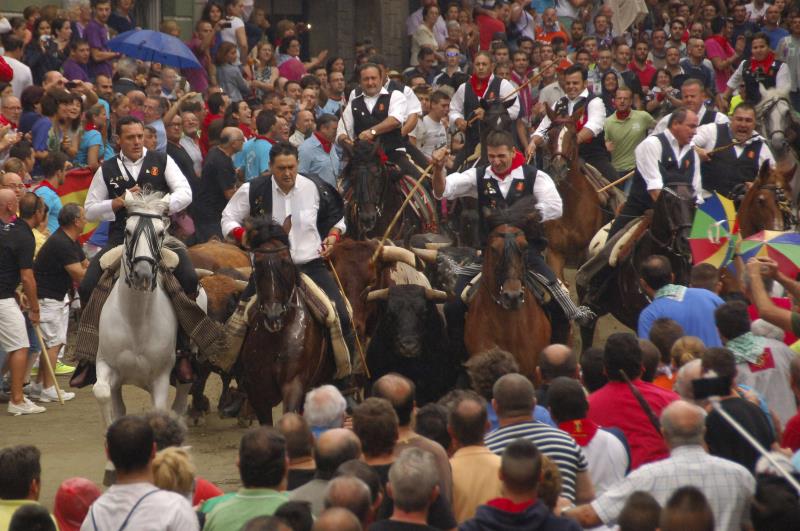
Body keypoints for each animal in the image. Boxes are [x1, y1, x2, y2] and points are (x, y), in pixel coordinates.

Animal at [93, 191, 193, 428]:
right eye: (128, 231)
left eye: (160, 232)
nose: (143, 274)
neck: (135, 320)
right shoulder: (107, 366)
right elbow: (102, 393)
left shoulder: (160, 378)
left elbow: (160, 413)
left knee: (180, 403)